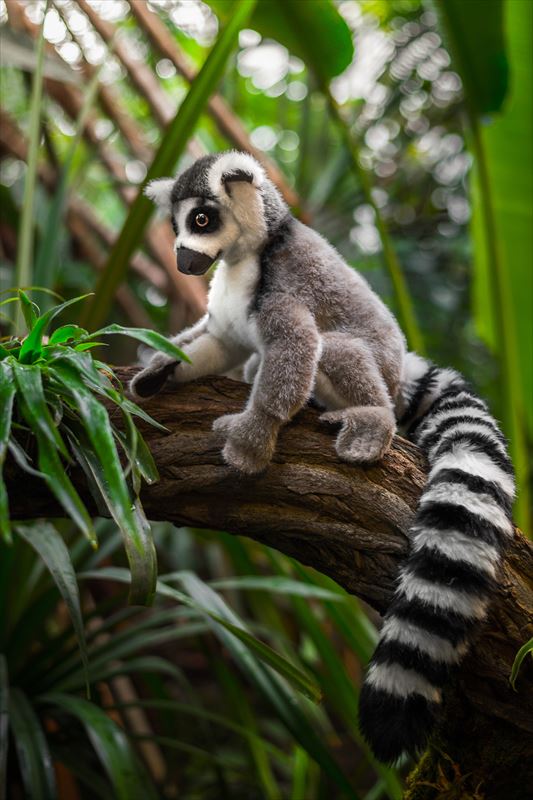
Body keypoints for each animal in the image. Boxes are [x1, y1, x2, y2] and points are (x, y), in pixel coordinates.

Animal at [130, 151, 516, 763]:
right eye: (177, 226)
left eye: (201, 221)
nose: (184, 261)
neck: (249, 256)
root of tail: (400, 373)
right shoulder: (227, 317)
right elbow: (220, 342)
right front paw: (159, 371)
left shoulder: (282, 286)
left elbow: (297, 346)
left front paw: (252, 438)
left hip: (374, 372)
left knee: (332, 348)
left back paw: (369, 422)